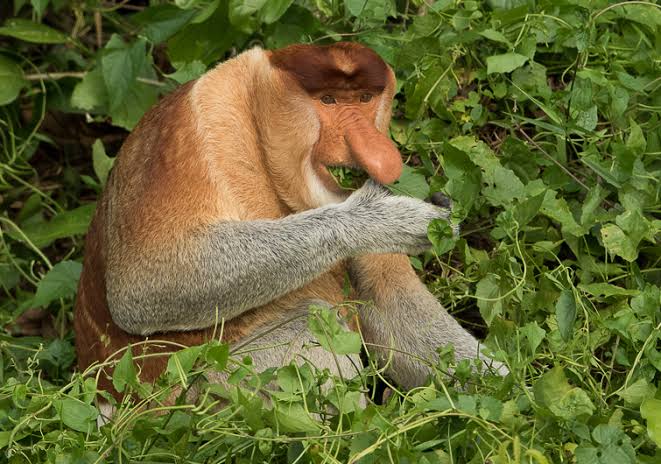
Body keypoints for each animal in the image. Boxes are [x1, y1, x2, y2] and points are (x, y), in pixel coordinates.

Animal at [74, 42, 506, 399]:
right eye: (328, 100)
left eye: (364, 99)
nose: (377, 151)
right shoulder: (195, 126)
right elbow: (142, 290)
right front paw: (383, 219)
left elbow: (392, 307)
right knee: (308, 323)